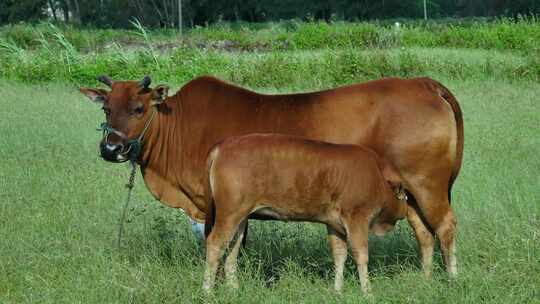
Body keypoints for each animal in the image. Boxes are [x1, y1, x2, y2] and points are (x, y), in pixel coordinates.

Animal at [79, 74, 464, 278]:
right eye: (106, 108)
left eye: (138, 108)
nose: (111, 148)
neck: (179, 124)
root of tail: (423, 83)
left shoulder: (218, 206)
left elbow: (222, 246)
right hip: (409, 192)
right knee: (424, 233)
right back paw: (426, 279)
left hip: (427, 185)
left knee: (444, 227)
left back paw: (450, 279)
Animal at [205, 134, 408, 294]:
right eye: (404, 193)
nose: (406, 209)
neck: (377, 175)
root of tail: (225, 144)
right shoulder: (357, 217)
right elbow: (361, 254)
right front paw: (368, 293)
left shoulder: (334, 224)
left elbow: (339, 255)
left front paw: (337, 291)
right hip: (230, 213)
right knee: (214, 244)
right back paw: (207, 292)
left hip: (240, 216)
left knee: (231, 251)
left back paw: (234, 290)